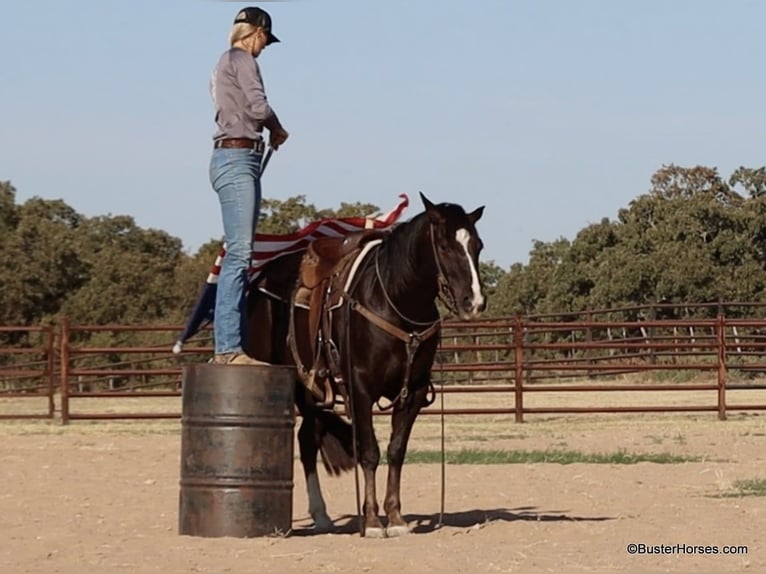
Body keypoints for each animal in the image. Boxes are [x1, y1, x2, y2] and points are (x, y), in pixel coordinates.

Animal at [244, 192, 487, 537]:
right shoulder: (360, 389)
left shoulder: (412, 393)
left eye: (478, 245)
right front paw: (372, 521)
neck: (395, 300)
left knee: (308, 439)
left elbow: (396, 451)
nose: (474, 302)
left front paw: (396, 517)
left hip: (313, 394)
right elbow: (370, 453)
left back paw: (321, 516)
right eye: (444, 246)